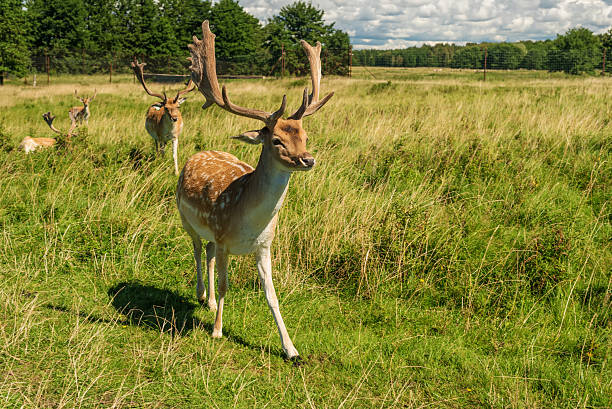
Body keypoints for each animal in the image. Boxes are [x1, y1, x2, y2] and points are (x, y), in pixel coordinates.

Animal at [176, 20, 334, 358]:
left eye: (304, 135)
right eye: (276, 140)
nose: (308, 159)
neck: (249, 224)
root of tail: (197, 153)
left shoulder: (265, 246)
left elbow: (272, 295)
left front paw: (291, 349)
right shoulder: (224, 239)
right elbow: (226, 285)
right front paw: (217, 331)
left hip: (212, 233)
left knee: (207, 252)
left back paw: (209, 302)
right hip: (185, 217)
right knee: (196, 248)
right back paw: (201, 294)